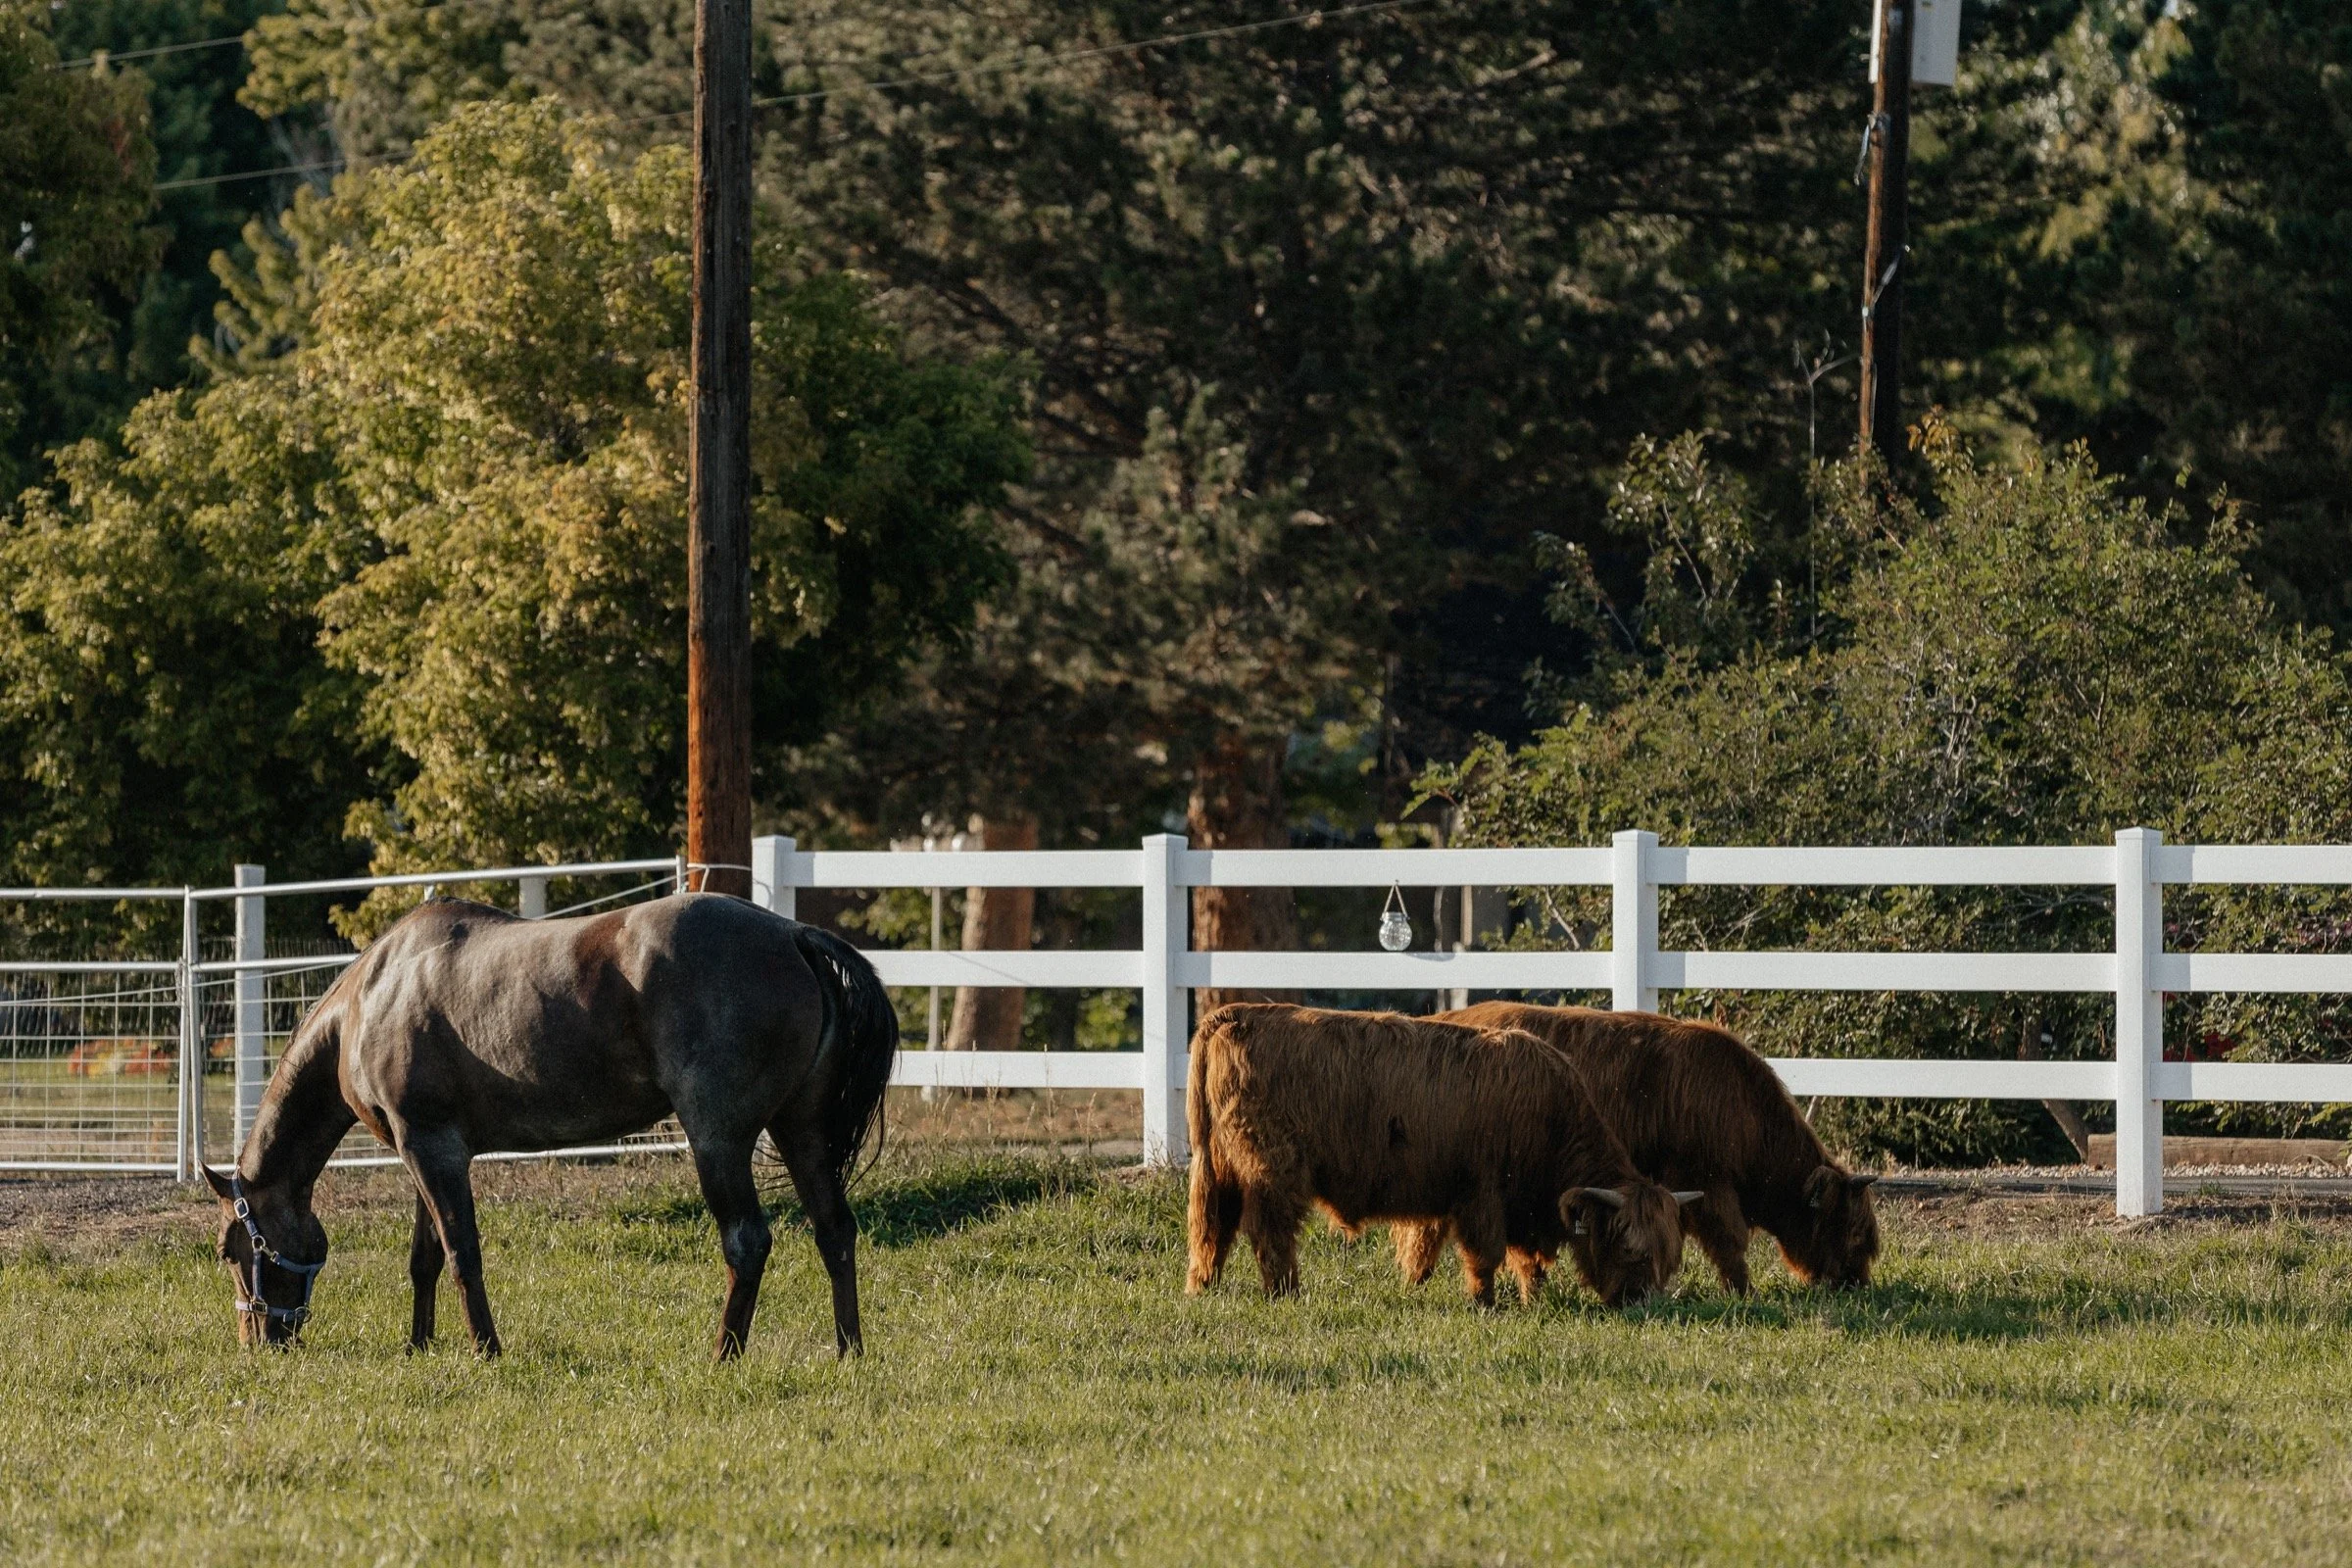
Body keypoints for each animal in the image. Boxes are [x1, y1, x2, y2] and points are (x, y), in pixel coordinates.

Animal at [200, 892, 897, 1359]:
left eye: (231, 1249)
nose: (259, 1340)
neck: (371, 998)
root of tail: (793, 935)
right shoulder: (424, 1153)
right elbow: (425, 1258)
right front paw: (419, 1346)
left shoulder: (432, 1150)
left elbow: (462, 1253)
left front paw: (486, 1350)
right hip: (801, 1133)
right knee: (835, 1231)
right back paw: (849, 1351)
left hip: (717, 1140)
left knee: (748, 1241)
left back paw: (723, 1355)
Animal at [1184, 1002, 1697, 1308]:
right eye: (1630, 1247)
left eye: (1670, 1258)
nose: (1640, 1303)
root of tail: (1233, 1014)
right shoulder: (1484, 1195)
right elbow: (1487, 1254)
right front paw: (1485, 1302)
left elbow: (1457, 1250)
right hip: (1273, 1167)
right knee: (1270, 1230)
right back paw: (1287, 1292)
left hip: (1217, 1166)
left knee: (1212, 1226)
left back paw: (1202, 1287)